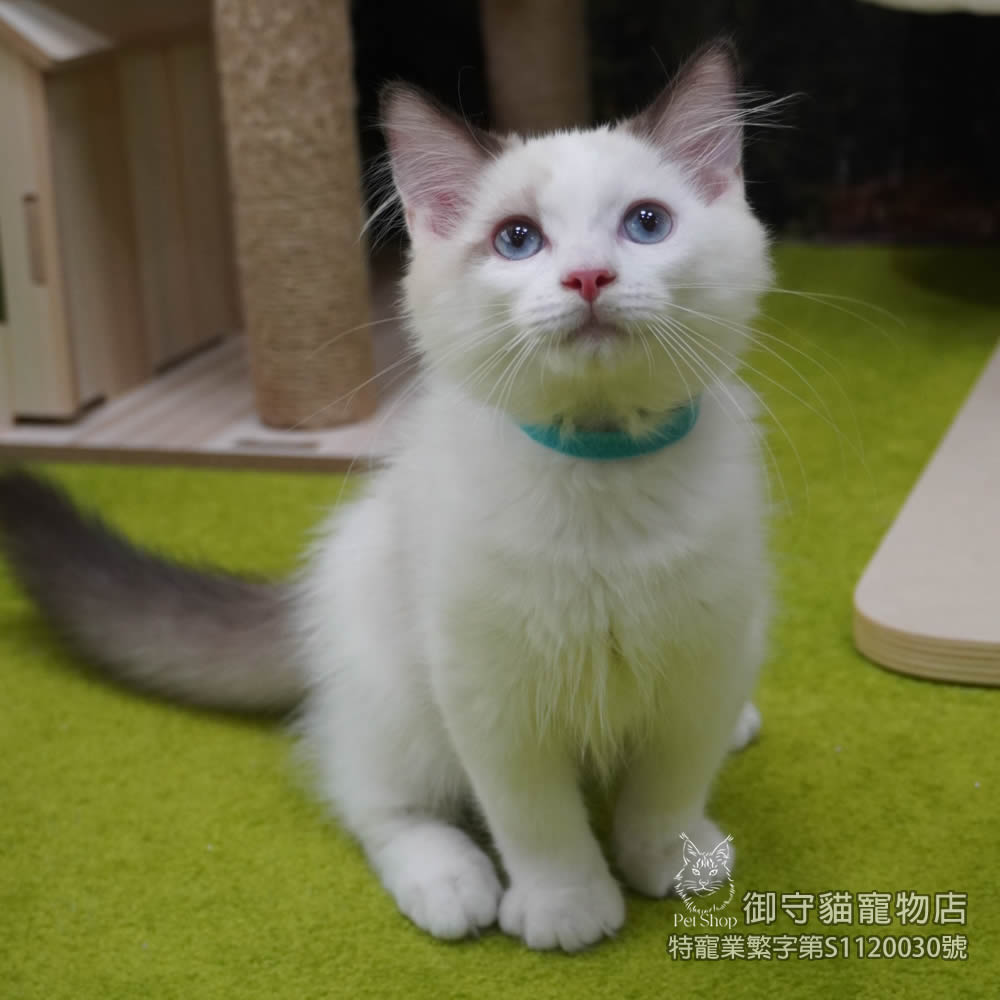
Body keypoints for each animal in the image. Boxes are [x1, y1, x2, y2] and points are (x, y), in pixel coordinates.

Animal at [0, 40, 772, 952]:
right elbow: (537, 819)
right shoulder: (489, 689)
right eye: (518, 239)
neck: (603, 468)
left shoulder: (704, 660)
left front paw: (673, 857)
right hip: (401, 702)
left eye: (646, 224)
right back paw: (450, 883)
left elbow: (668, 788)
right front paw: (567, 906)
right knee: (372, 798)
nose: (588, 276)